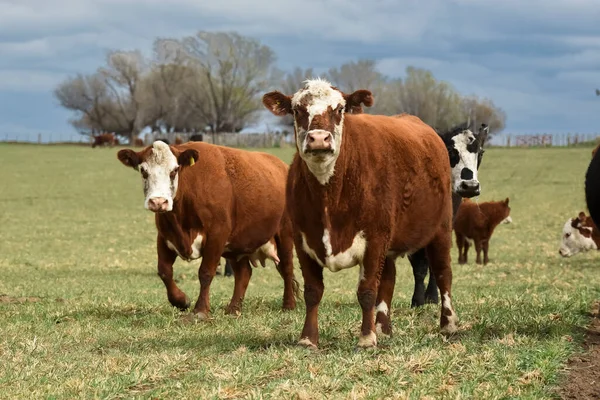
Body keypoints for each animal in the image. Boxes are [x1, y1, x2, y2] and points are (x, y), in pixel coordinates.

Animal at [116, 141, 298, 318]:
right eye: (143, 171)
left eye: (174, 170)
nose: (158, 202)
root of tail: (283, 167)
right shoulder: (164, 237)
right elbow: (164, 271)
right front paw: (181, 301)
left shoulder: (216, 236)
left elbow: (205, 272)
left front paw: (201, 310)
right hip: (236, 245)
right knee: (244, 273)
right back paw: (233, 309)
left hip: (285, 234)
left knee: (286, 268)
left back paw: (288, 305)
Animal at [262, 77, 454, 346]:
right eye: (297, 110)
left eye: (340, 109)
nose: (319, 138)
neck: (329, 197)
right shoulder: (303, 240)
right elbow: (313, 291)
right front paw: (308, 339)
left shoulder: (374, 238)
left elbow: (367, 291)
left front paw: (366, 338)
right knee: (389, 279)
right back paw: (383, 327)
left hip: (441, 228)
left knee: (443, 272)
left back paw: (448, 324)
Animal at [408, 121, 488, 306]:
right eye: (450, 151)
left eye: (480, 152)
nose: (470, 186)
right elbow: (418, 262)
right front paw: (417, 300)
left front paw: (431, 297)